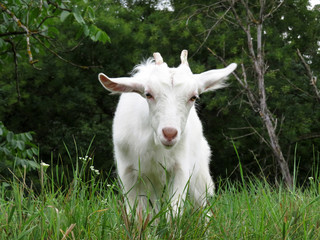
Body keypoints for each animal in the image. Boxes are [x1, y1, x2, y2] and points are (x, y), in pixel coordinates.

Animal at [99, 49, 236, 215]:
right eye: (148, 94)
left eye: (193, 97)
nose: (169, 133)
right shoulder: (128, 172)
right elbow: (135, 212)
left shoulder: (180, 168)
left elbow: (174, 210)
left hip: (199, 171)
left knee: (201, 205)